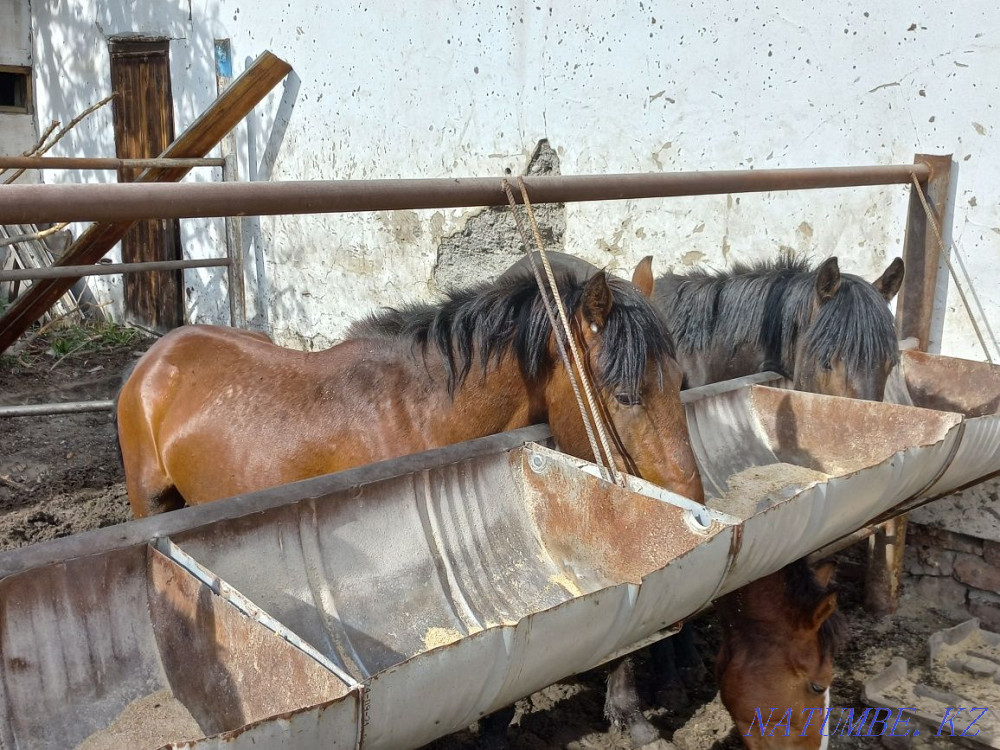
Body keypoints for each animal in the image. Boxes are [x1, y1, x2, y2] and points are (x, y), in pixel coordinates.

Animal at [116, 259, 704, 517]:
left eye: (680, 381)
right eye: (625, 396)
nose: (695, 501)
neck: (419, 414)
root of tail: (156, 359)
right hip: (149, 501)